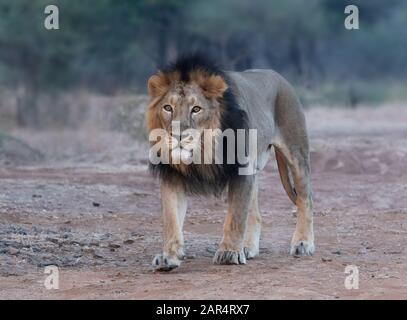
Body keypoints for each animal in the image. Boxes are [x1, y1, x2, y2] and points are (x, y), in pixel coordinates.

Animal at [147, 54, 316, 270]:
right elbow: (171, 219)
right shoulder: (172, 175)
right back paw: (248, 248)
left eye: (196, 109)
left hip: (296, 154)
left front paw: (229, 253)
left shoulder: (241, 169)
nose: (177, 136)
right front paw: (168, 256)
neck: (204, 151)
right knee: (256, 214)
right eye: (168, 108)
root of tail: (278, 76)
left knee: (305, 199)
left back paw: (303, 243)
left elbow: (235, 216)